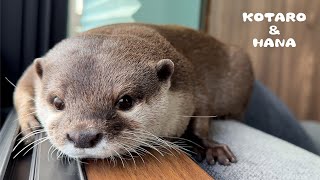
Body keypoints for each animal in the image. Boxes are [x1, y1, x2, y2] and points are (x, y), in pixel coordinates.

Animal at [12, 23, 254, 165]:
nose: (83, 137)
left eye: (125, 101)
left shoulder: (192, 83)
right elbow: (19, 90)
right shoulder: (32, 72)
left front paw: (211, 146)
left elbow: (203, 113)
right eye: (57, 102)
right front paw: (30, 123)